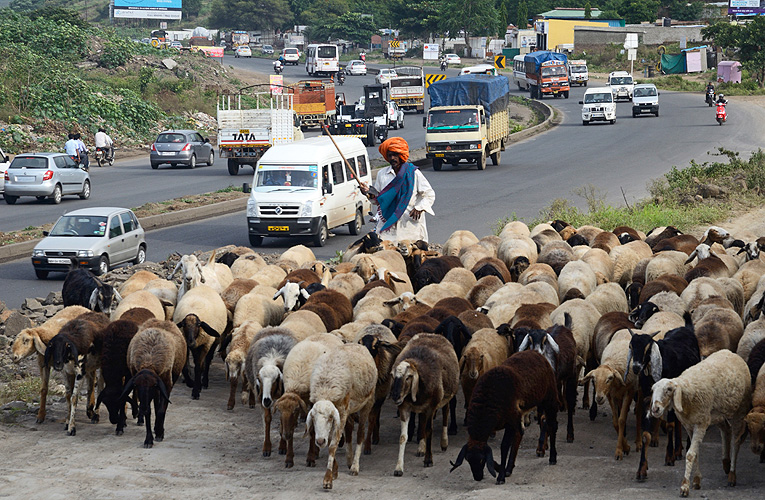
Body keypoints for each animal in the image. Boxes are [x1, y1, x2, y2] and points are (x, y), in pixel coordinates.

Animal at [648, 350, 748, 498]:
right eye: (653, 391)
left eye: (669, 389)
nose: (655, 409)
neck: (686, 395)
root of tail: (730, 352)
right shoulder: (689, 425)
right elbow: (696, 453)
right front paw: (696, 480)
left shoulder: (700, 424)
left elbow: (690, 454)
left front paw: (685, 486)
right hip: (717, 415)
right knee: (725, 430)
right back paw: (725, 462)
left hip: (739, 410)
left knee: (736, 440)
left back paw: (731, 475)